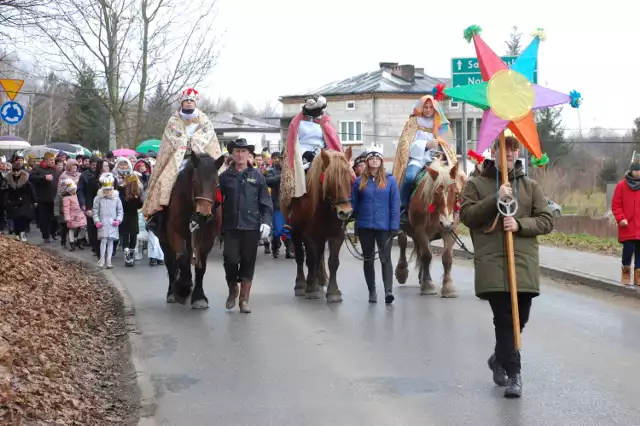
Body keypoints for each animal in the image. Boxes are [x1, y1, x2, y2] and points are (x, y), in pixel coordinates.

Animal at [157, 151, 225, 308]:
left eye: (216, 184)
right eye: (194, 182)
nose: (203, 215)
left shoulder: (207, 238)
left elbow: (201, 267)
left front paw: (199, 297)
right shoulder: (174, 233)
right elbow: (181, 259)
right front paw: (182, 289)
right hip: (164, 239)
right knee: (170, 262)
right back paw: (172, 292)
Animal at [290, 148, 356, 302]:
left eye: (351, 180)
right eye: (330, 181)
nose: (345, 212)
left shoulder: (337, 236)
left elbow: (333, 262)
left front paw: (333, 292)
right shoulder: (309, 236)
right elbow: (311, 259)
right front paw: (310, 288)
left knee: (319, 255)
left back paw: (320, 279)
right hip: (295, 233)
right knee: (301, 257)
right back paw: (302, 284)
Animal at [392, 158, 468, 298]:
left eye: (455, 193)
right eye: (436, 193)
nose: (446, 223)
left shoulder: (450, 230)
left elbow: (447, 258)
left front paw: (448, 287)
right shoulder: (421, 230)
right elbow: (427, 256)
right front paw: (427, 286)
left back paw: (421, 277)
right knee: (403, 242)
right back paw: (402, 272)